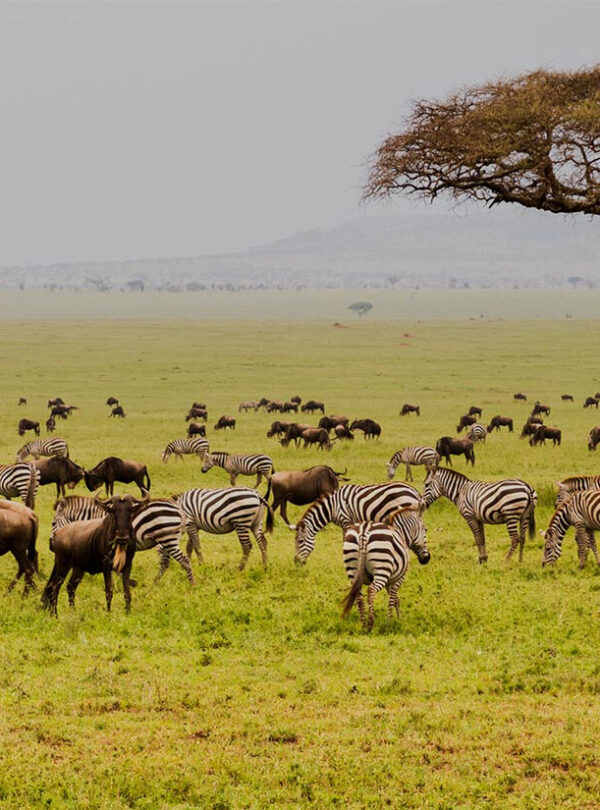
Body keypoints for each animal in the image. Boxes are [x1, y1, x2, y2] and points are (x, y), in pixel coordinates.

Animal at [52, 495, 195, 584]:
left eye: (53, 523)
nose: (51, 545)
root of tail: (179, 508)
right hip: (165, 540)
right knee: (166, 562)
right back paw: (155, 583)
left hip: (168, 539)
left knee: (184, 561)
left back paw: (191, 585)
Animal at [294, 482, 422, 563]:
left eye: (300, 541)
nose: (296, 562)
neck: (332, 507)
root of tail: (414, 491)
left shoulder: (346, 521)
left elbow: (346, 539)